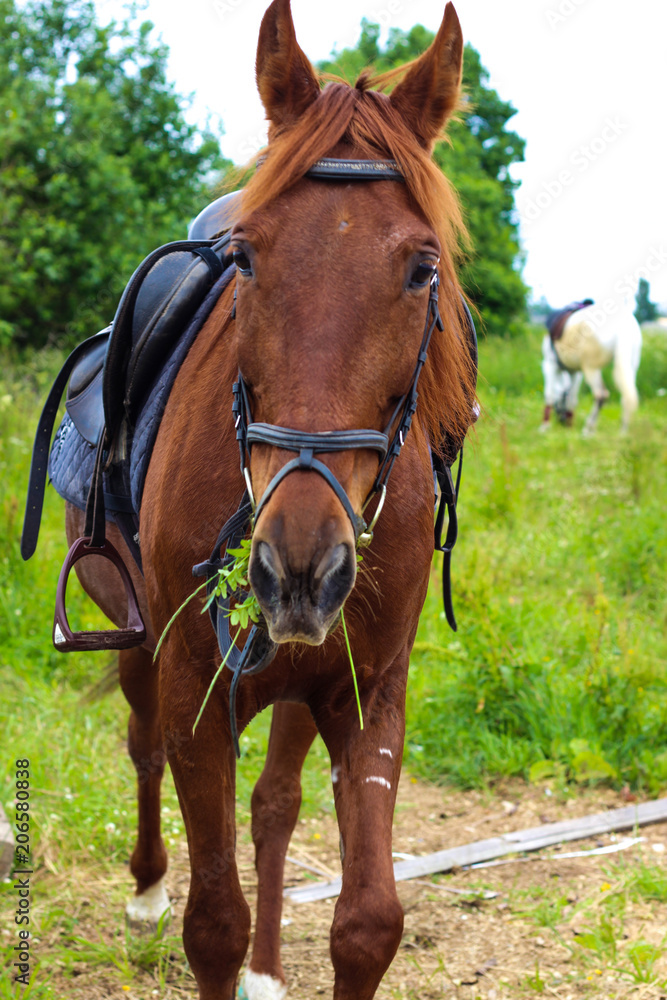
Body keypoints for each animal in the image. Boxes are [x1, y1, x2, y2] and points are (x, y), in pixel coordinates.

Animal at [59, 2, 476, 996]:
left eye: (421, 269)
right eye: (245, 260)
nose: (296, 565)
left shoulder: (366, 692)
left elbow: (366, 922)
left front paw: (276, 960)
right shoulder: (194, 691)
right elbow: (212, 919)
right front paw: (186, 918)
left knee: (274, 802)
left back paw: (267, 967)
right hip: (138, 637)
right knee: (141, 743)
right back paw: (144, 893)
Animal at [540, 301, 642, 434]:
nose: (561, 421)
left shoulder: (550, 365)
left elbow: (550, 395)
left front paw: (544, 427)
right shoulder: (575, 373)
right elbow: (571, 399)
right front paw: (569, 428)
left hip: (591, 368)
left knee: (601, 395)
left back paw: (588, 429)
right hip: (630, 366)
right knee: (627, 397)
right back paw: (623, 432)